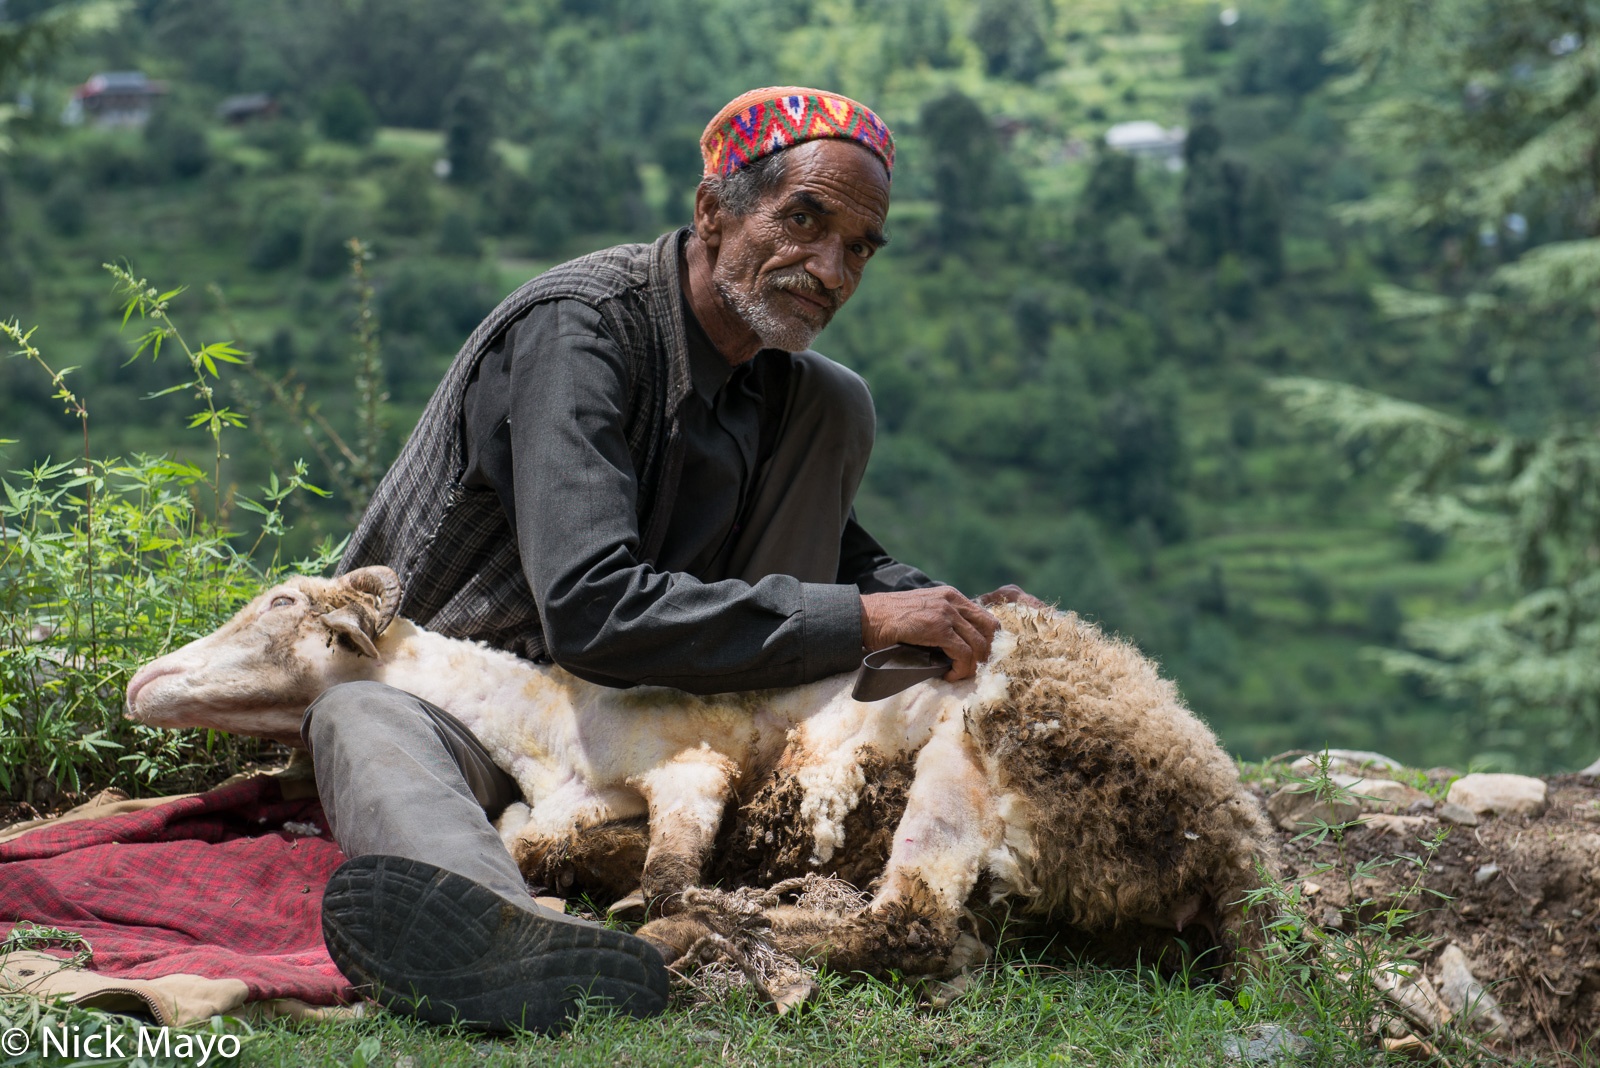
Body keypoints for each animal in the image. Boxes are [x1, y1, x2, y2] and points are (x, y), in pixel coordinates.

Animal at [124, 565, 1273, 984]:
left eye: (280, 604)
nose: (143, 680)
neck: (546, 721)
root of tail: (1230, 845)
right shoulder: (556, 803)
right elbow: (528, 842)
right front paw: (598, 862)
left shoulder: (692, 765)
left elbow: (674, 854)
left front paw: (661, 890)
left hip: (979, 759)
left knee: (907, 929)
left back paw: (742, 924)